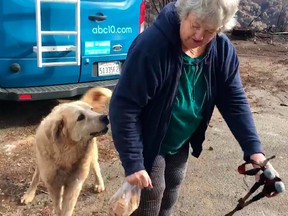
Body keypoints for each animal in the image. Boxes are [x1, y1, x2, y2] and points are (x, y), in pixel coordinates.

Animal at [20, 87, 111, 215]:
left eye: (91, 109)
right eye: (80, 117)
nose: (105, 117)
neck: (67, 152)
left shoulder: (74, 184)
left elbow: (67, 208)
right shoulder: (53, 184)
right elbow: (58, 206)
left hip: (91, 153)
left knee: (95, 166)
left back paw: (99, 183)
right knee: (37, 174)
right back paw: (29, 193)